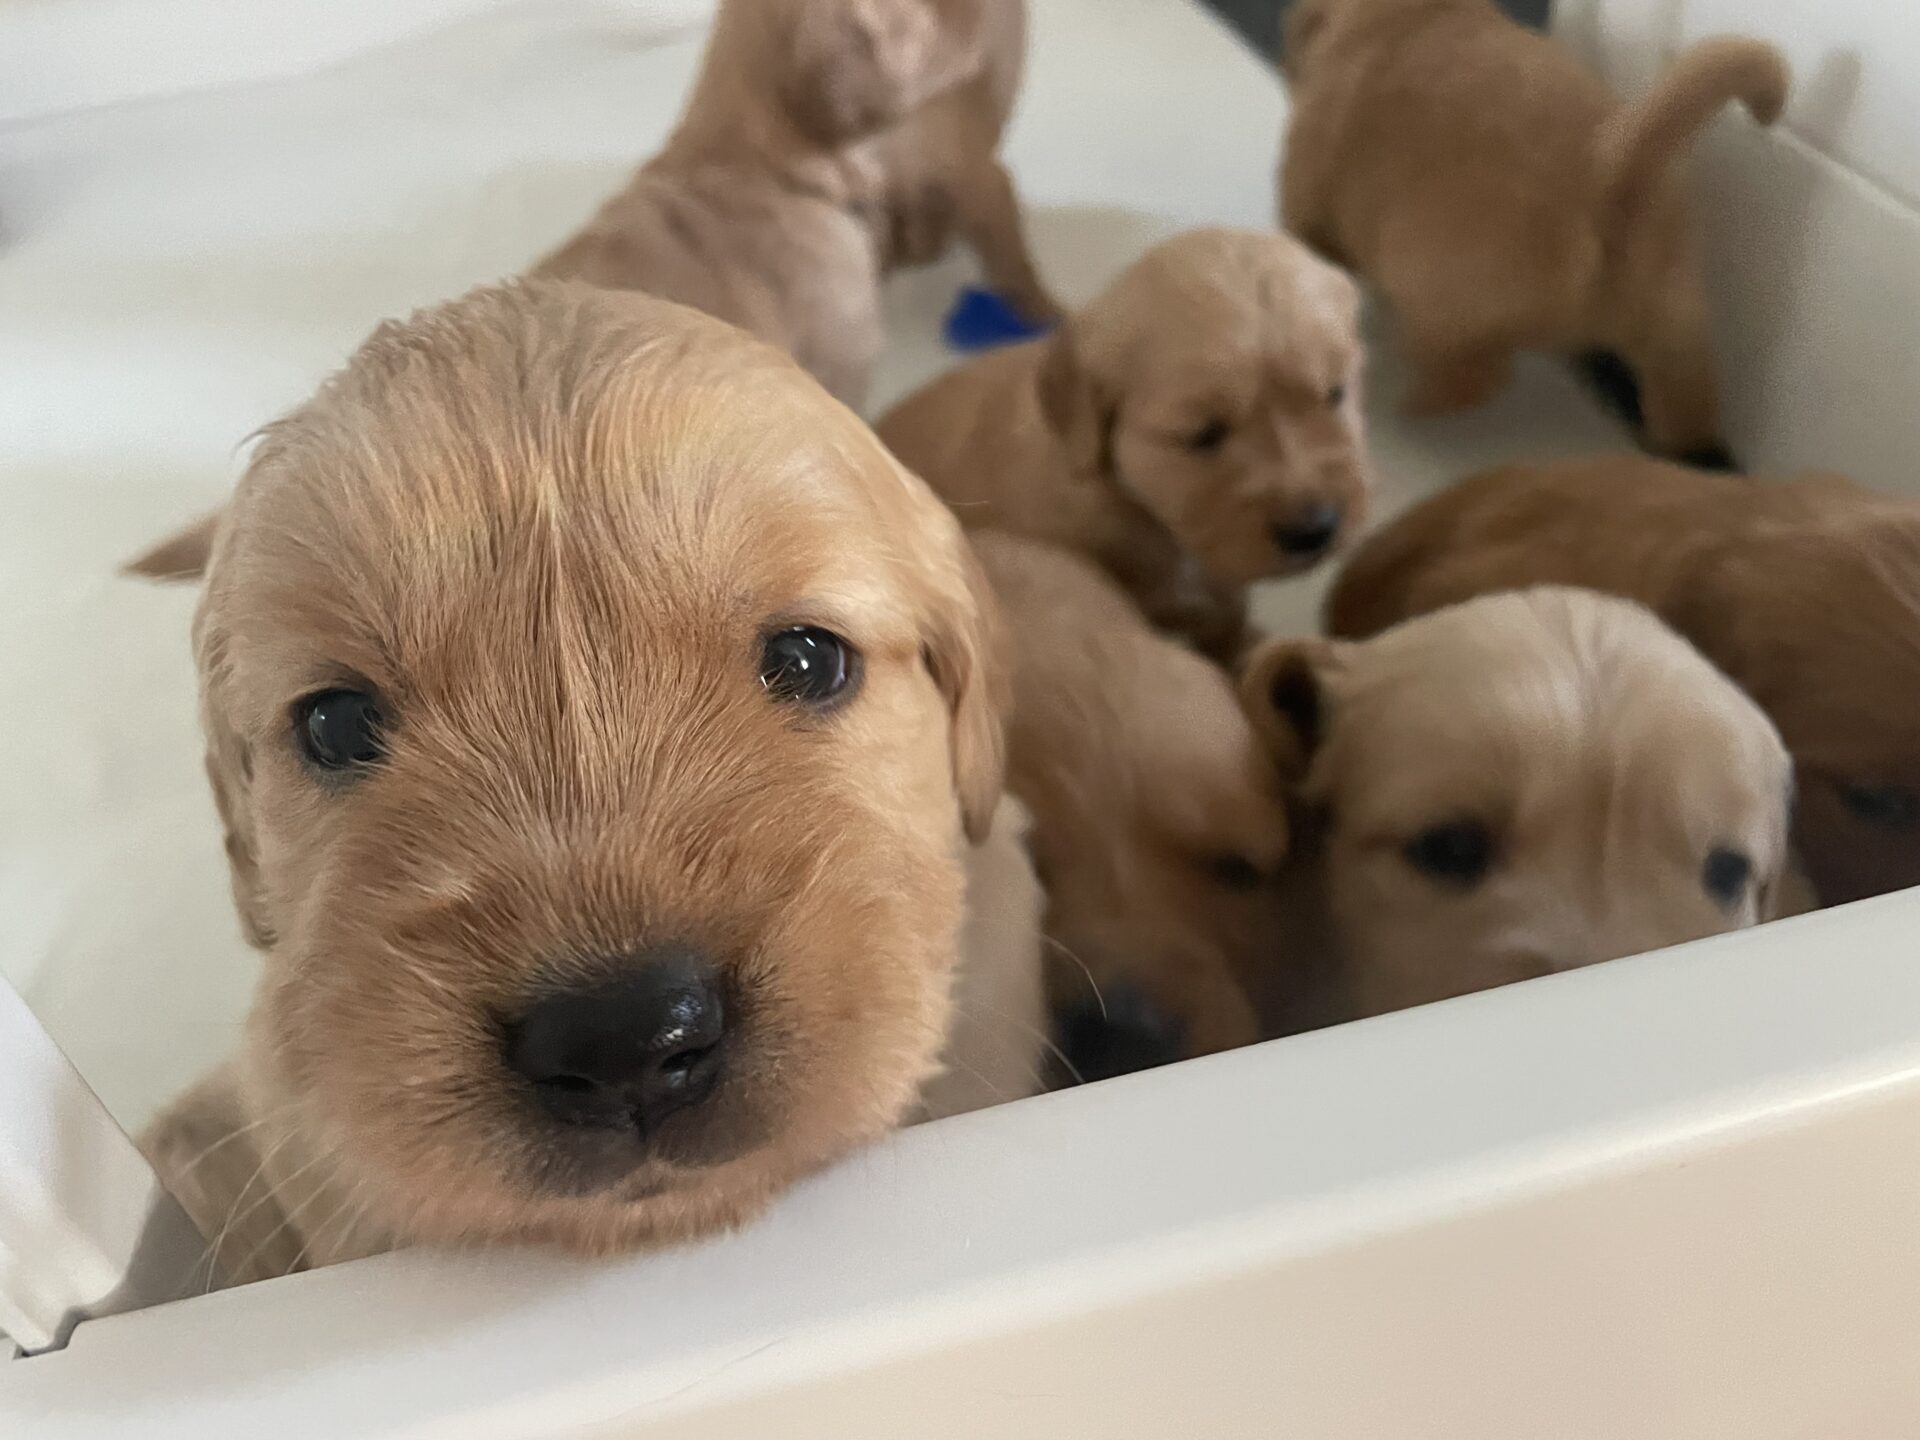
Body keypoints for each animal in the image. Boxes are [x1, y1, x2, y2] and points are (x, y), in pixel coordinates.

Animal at [1280, 0, 1787, 465]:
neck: (1409, 14)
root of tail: (1606, 176)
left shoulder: (1304, 192)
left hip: (1436, 294)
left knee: (1475, 377)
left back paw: (1413, 410)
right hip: (1678, 326)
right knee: (1686, 408)